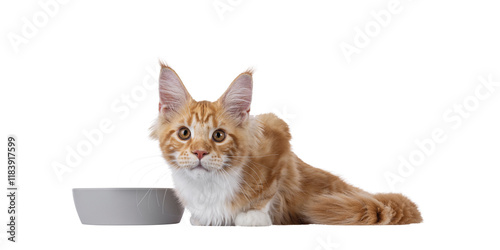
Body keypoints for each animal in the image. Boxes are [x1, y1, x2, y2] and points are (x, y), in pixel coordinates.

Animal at [151, 61, 422, 226]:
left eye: (218, 135)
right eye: (184, 133)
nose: (199, 152)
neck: (207, 187)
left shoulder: (279, 137)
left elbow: (269, 192)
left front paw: (252, 216)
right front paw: (202, 217)